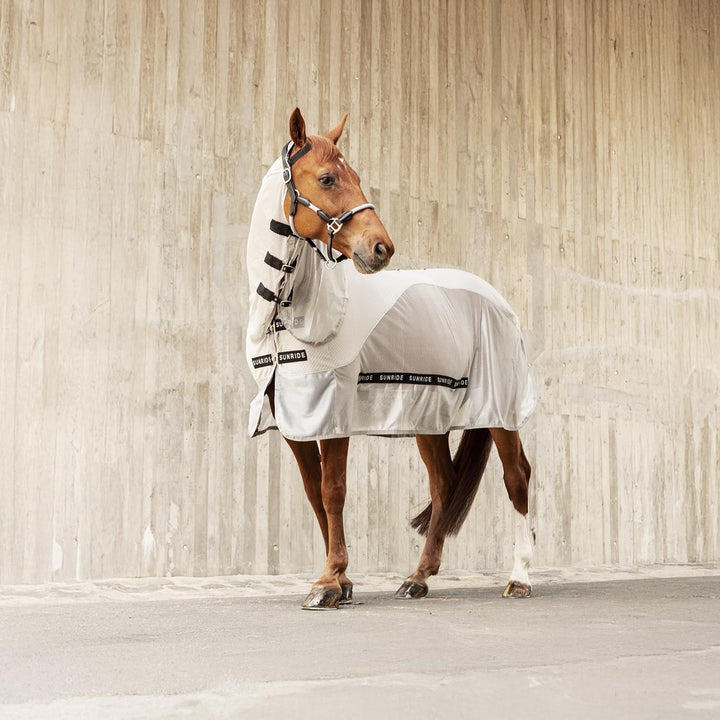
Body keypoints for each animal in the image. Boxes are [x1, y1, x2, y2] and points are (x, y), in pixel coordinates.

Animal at [246, 108, 537, 609]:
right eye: (327, 178)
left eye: (358, 177)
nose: (381, 248)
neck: (291, 319)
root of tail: (497, 300)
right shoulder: (293, 417)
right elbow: (314, 493)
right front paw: (341, 582)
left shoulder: (333, 410)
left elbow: (333, 491)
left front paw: (328, 583)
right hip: (429, 417)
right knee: (443, 485)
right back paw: (418, 578)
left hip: (500, 410)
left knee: (516, 476)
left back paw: (519, 577)